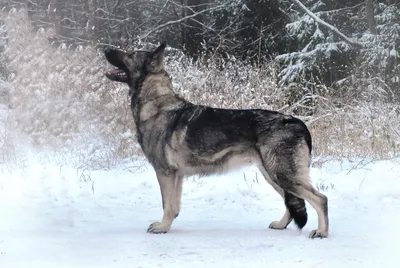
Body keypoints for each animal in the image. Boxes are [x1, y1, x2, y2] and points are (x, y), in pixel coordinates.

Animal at [104, 42, 330, 239]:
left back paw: (322, 232)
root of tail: (299, 123)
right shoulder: (176, 176)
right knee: (291, 202)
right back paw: (281, 224)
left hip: (282, 175)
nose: (105, 49)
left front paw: (162, 227)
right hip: (272, 175)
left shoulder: (165, 173)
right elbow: (174, 206)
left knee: (320, 199)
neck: (156, 103)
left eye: (131, 54)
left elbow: (167, 205)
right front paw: (167, 225)